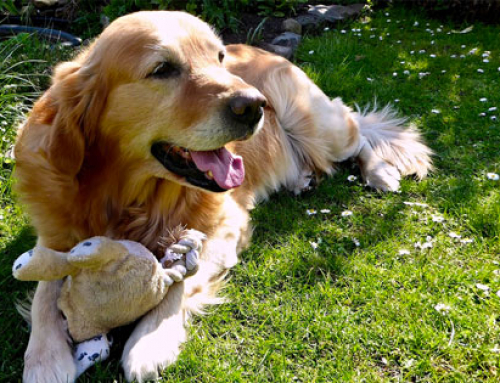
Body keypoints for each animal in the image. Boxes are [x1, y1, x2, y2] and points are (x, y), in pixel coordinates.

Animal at [13, 10, 432, 382]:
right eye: (162, 69)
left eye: (218, 58)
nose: (255, 105)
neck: (129, 198)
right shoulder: (55, 235)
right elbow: (44, 294)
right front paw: (45, 361)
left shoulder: (224, 225)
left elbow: (179, 278)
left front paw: (149, 342)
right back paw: (303, 179)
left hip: (318, 124)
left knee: (359, 134)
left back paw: (379, 173)